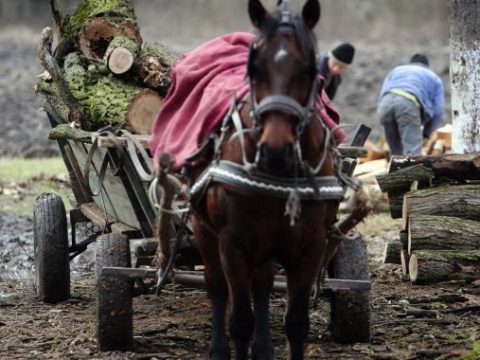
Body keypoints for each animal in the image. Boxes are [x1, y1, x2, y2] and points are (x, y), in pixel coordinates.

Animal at [191, 1, 348, 358]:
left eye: (309, 69)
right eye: (254, 67)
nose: (276, 150)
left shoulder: (311, 245)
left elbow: (297, 323)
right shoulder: (232, 242)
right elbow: (239, 320)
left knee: (261, 284)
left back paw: (263, 346)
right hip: (204, 229)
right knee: (217, 286)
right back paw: (218, 346)